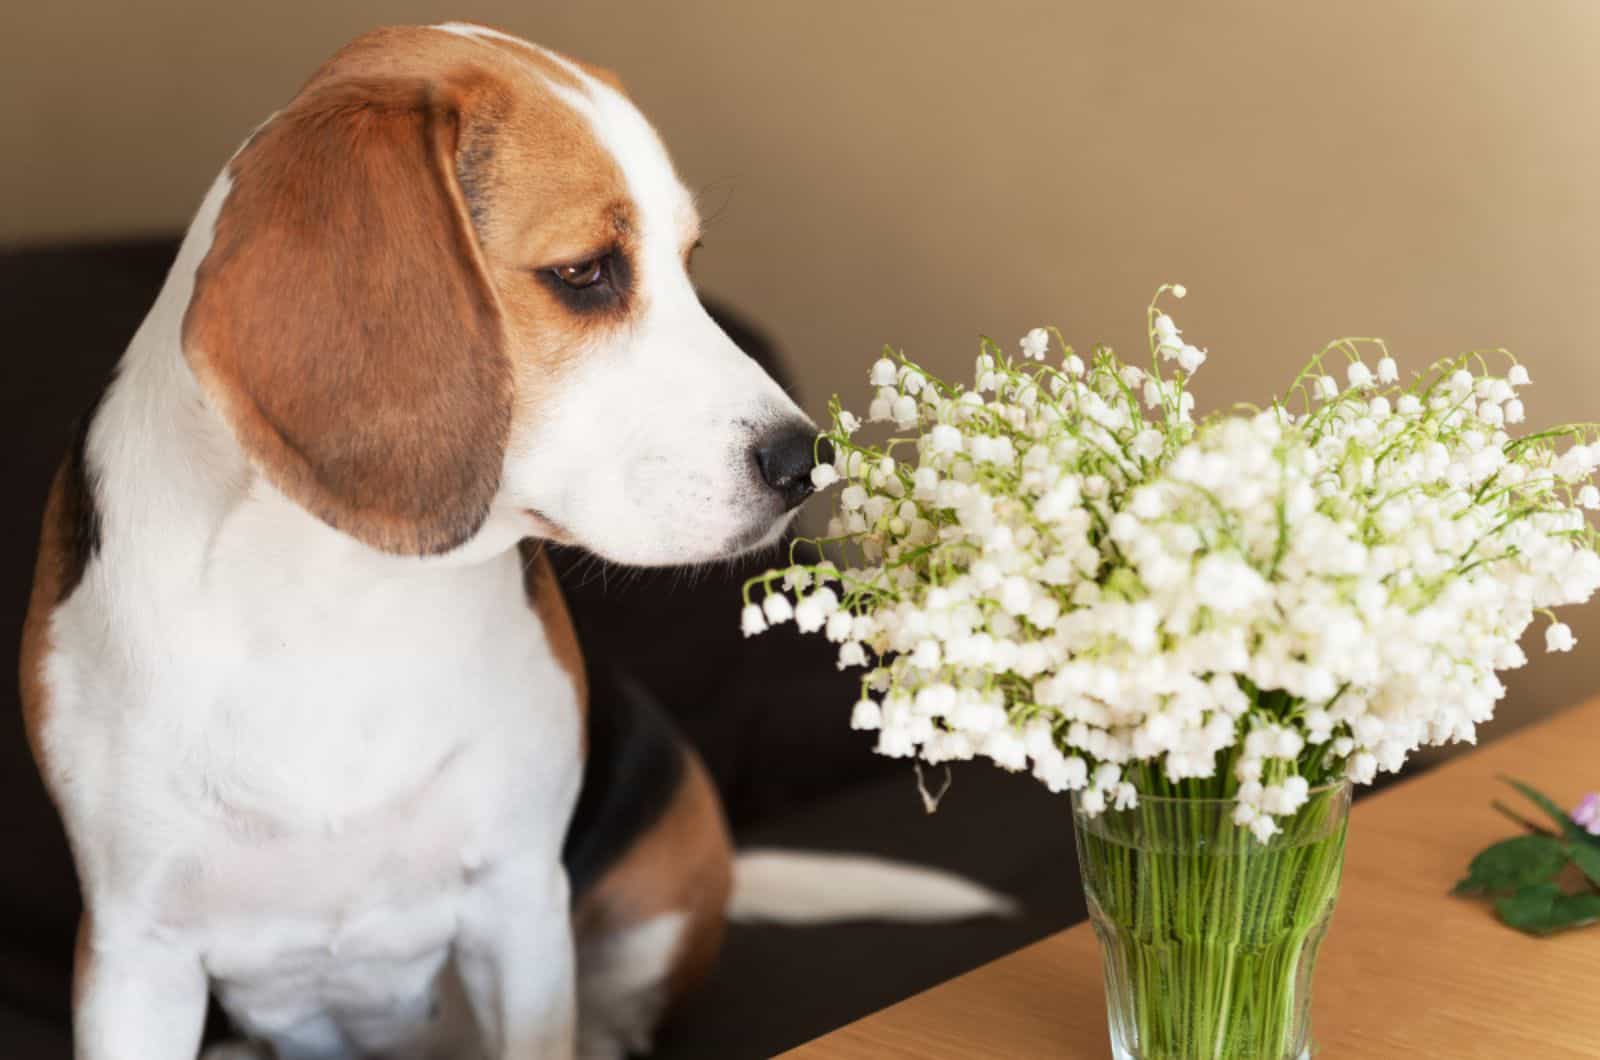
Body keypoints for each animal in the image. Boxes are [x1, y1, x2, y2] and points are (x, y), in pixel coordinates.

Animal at [18, 24, 825, 1060]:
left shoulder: (519, 907)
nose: (806, 460)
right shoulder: (132, 951)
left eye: (690, 263)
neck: (336, 593)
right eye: (585, 273)